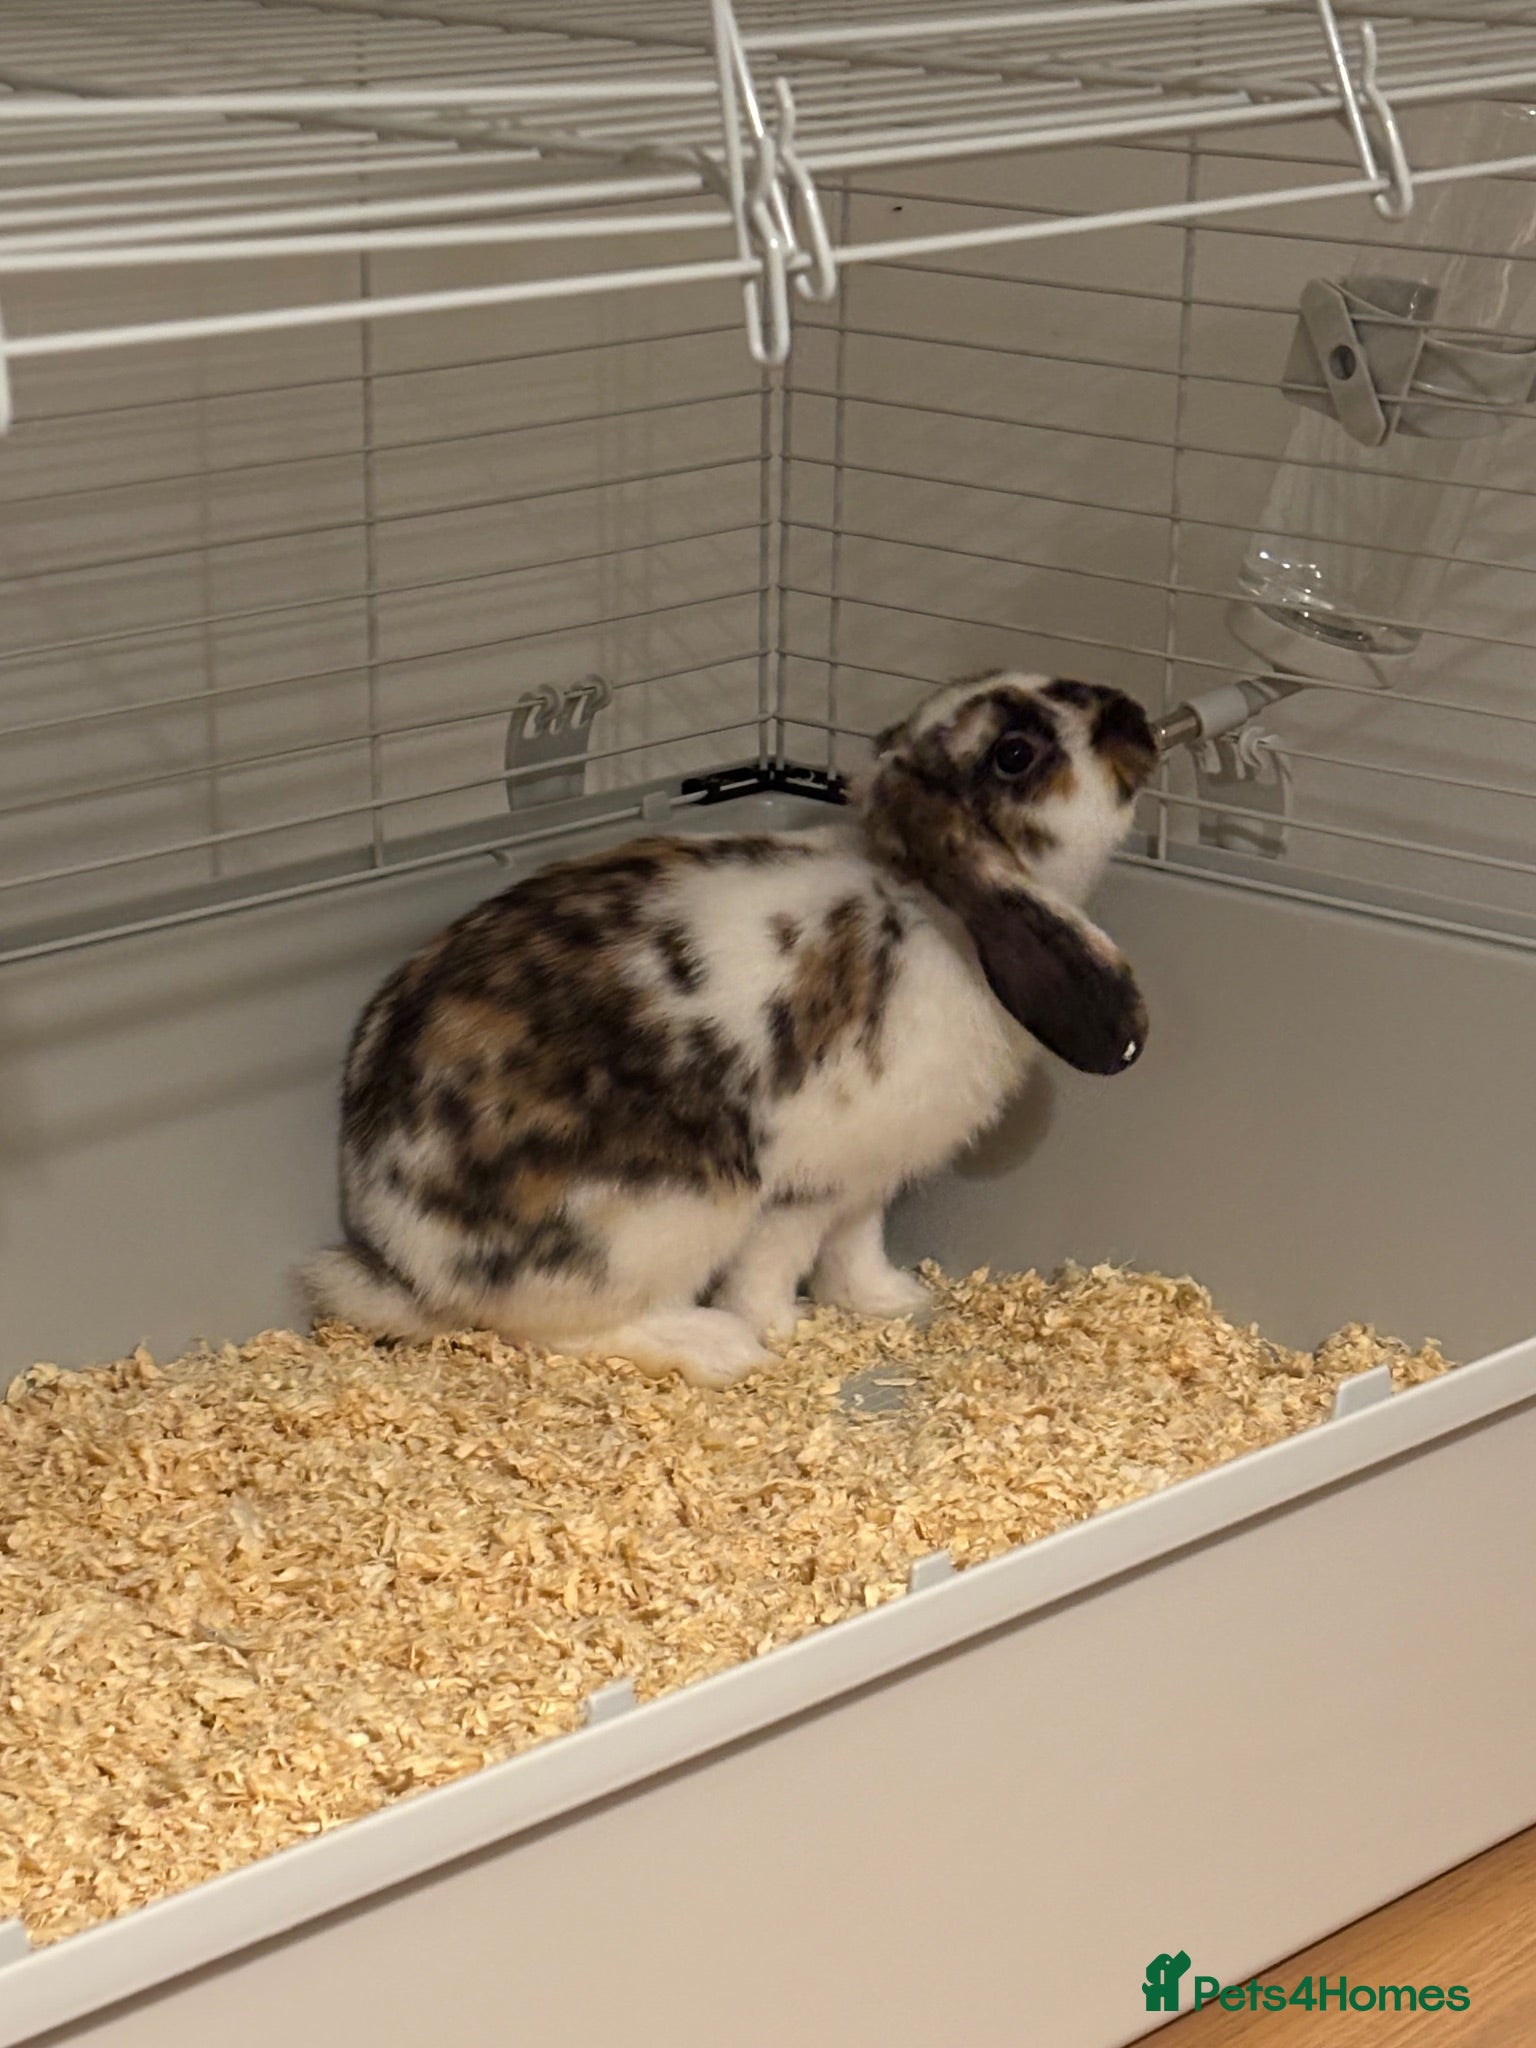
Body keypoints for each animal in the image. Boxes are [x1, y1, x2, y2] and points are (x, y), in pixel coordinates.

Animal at [302, 669, 1157, 1388]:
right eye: (1015, 754)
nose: (1135, 715)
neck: (933, 905)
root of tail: (402, 1261)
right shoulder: (804, 1187)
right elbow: (770, 1269)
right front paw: (786, 1332)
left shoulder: (870, 1180)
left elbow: (856, 1248)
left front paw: (892, 1303)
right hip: (663, 1217)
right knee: (556, 1328)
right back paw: (717, 1348)